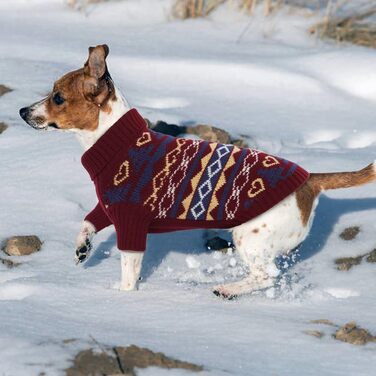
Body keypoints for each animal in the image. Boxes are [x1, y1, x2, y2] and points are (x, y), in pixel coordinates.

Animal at [20, 44, 376, 298]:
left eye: (58, 98)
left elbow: (129, 271)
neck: (114, 139)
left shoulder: (130, 223)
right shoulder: (108, 208)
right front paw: (82, 249)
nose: (23, 111)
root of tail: (309, 181)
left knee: (267, 276)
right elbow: (87, 222)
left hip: (250, 237)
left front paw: (122, 297)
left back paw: (228, 289)